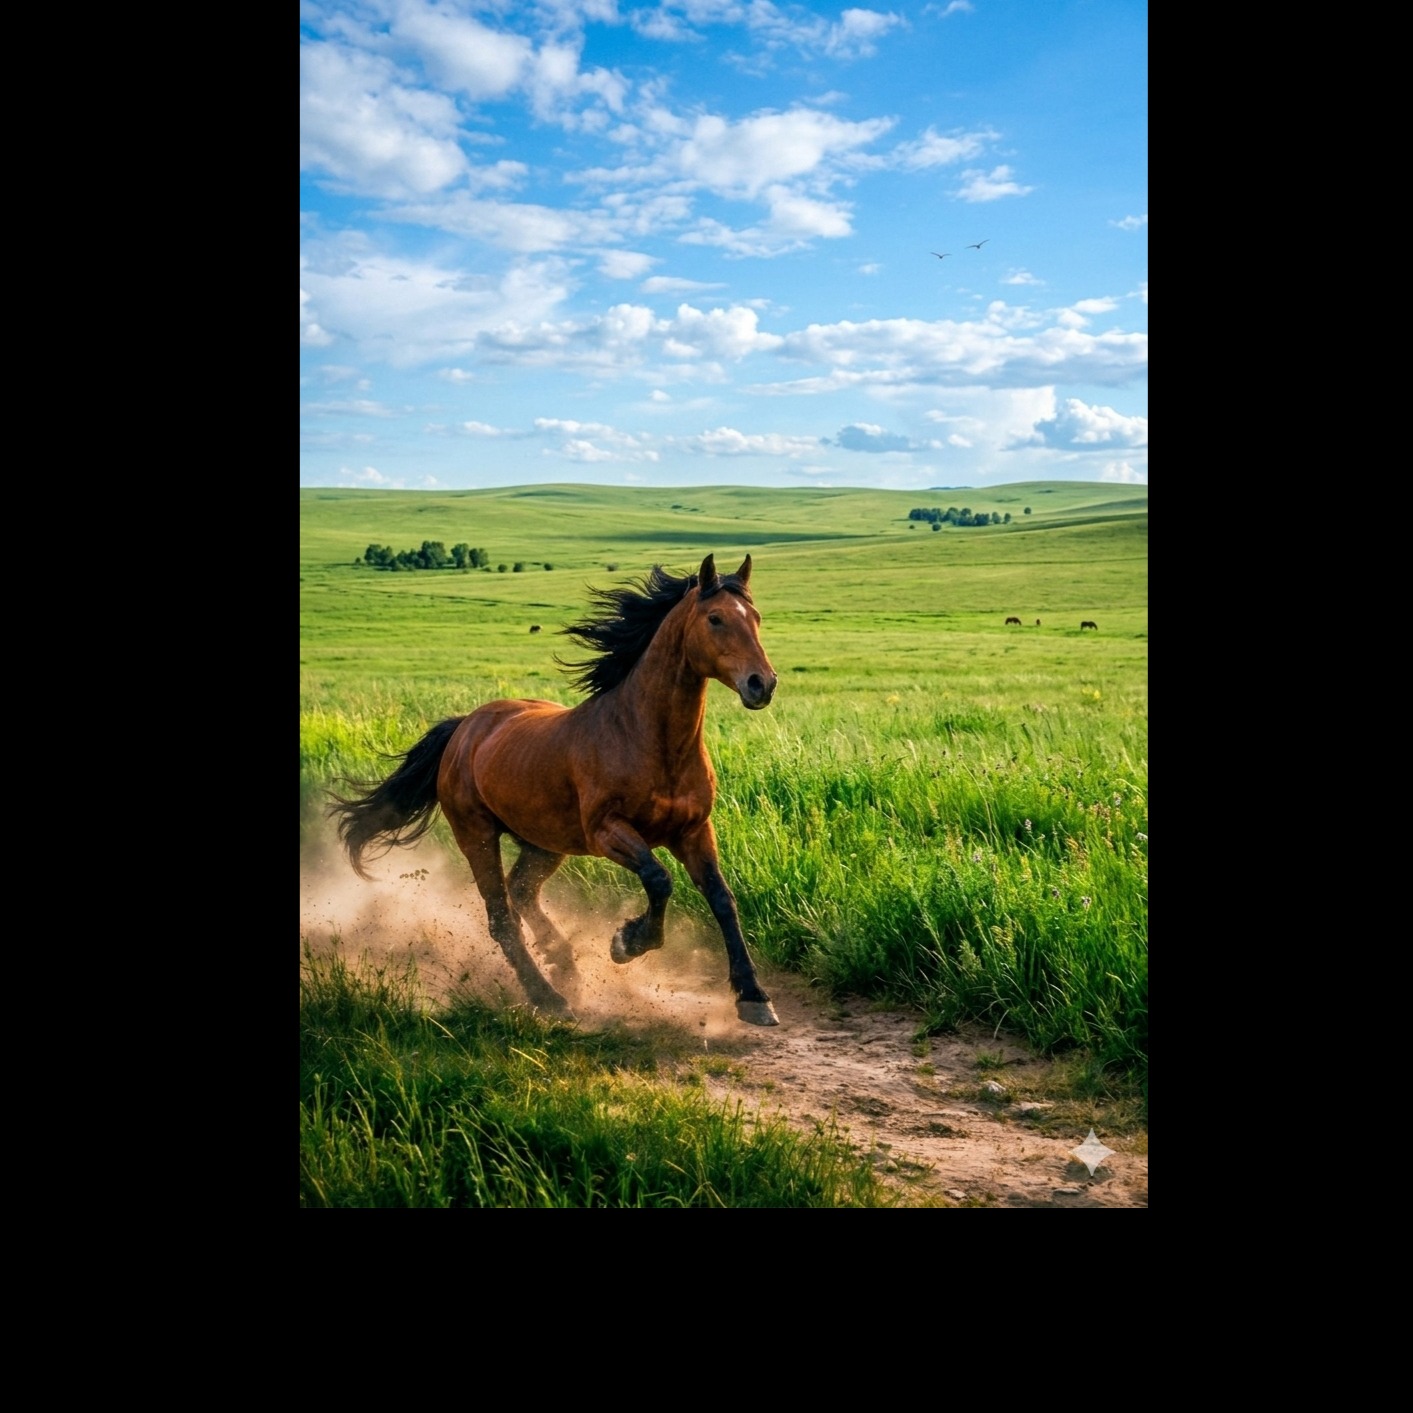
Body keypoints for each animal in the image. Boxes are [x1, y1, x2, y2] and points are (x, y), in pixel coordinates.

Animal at [328, 554, 781, 1027]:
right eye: (715, 619)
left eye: (756, 618)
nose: (762, 684)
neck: (647, 739)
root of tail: (465, 727)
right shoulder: (607, 833)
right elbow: (659, 880)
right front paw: (627, 943)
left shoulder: (694, 831)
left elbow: (722, 899)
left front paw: (753, 997)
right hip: (478, 836)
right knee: (502, 917)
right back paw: (548, 996)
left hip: (544, 843)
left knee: (522, 891)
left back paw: (563, 963)